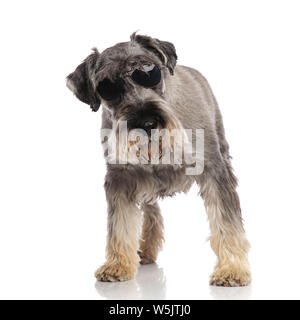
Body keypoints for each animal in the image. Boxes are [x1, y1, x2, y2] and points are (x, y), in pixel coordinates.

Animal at [65, 33, 251, 288]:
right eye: (107, 87)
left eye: (149, 71)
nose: (146, 123)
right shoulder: (120, 178)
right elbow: (120, 224)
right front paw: (118, 264)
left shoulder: (214, 171)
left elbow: (226, 221)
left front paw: (232, 269)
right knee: (150, 210)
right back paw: (146, 250)